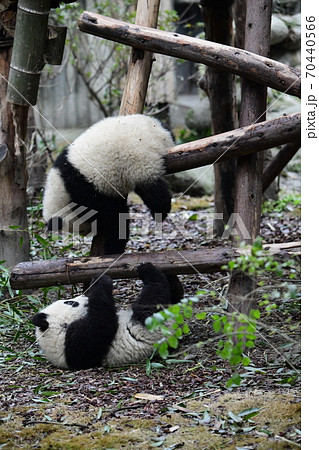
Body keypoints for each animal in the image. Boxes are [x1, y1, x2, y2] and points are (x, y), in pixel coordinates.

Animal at [31, 264, 185, 370]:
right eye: (71, 303)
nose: (85, 298)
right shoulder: (74, 343)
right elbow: (102, 323)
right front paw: (100, 280)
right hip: (149, 326)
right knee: (153, 300)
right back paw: (148, 270)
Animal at [42, 114, 175, 255]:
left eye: (80, 229)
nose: (86, 233)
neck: (62, 188)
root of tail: (160, 134)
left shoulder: (85, 191)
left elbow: (114, 217)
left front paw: (114, 247)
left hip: (138, 160)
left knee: (152, 190)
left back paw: (160, 212)